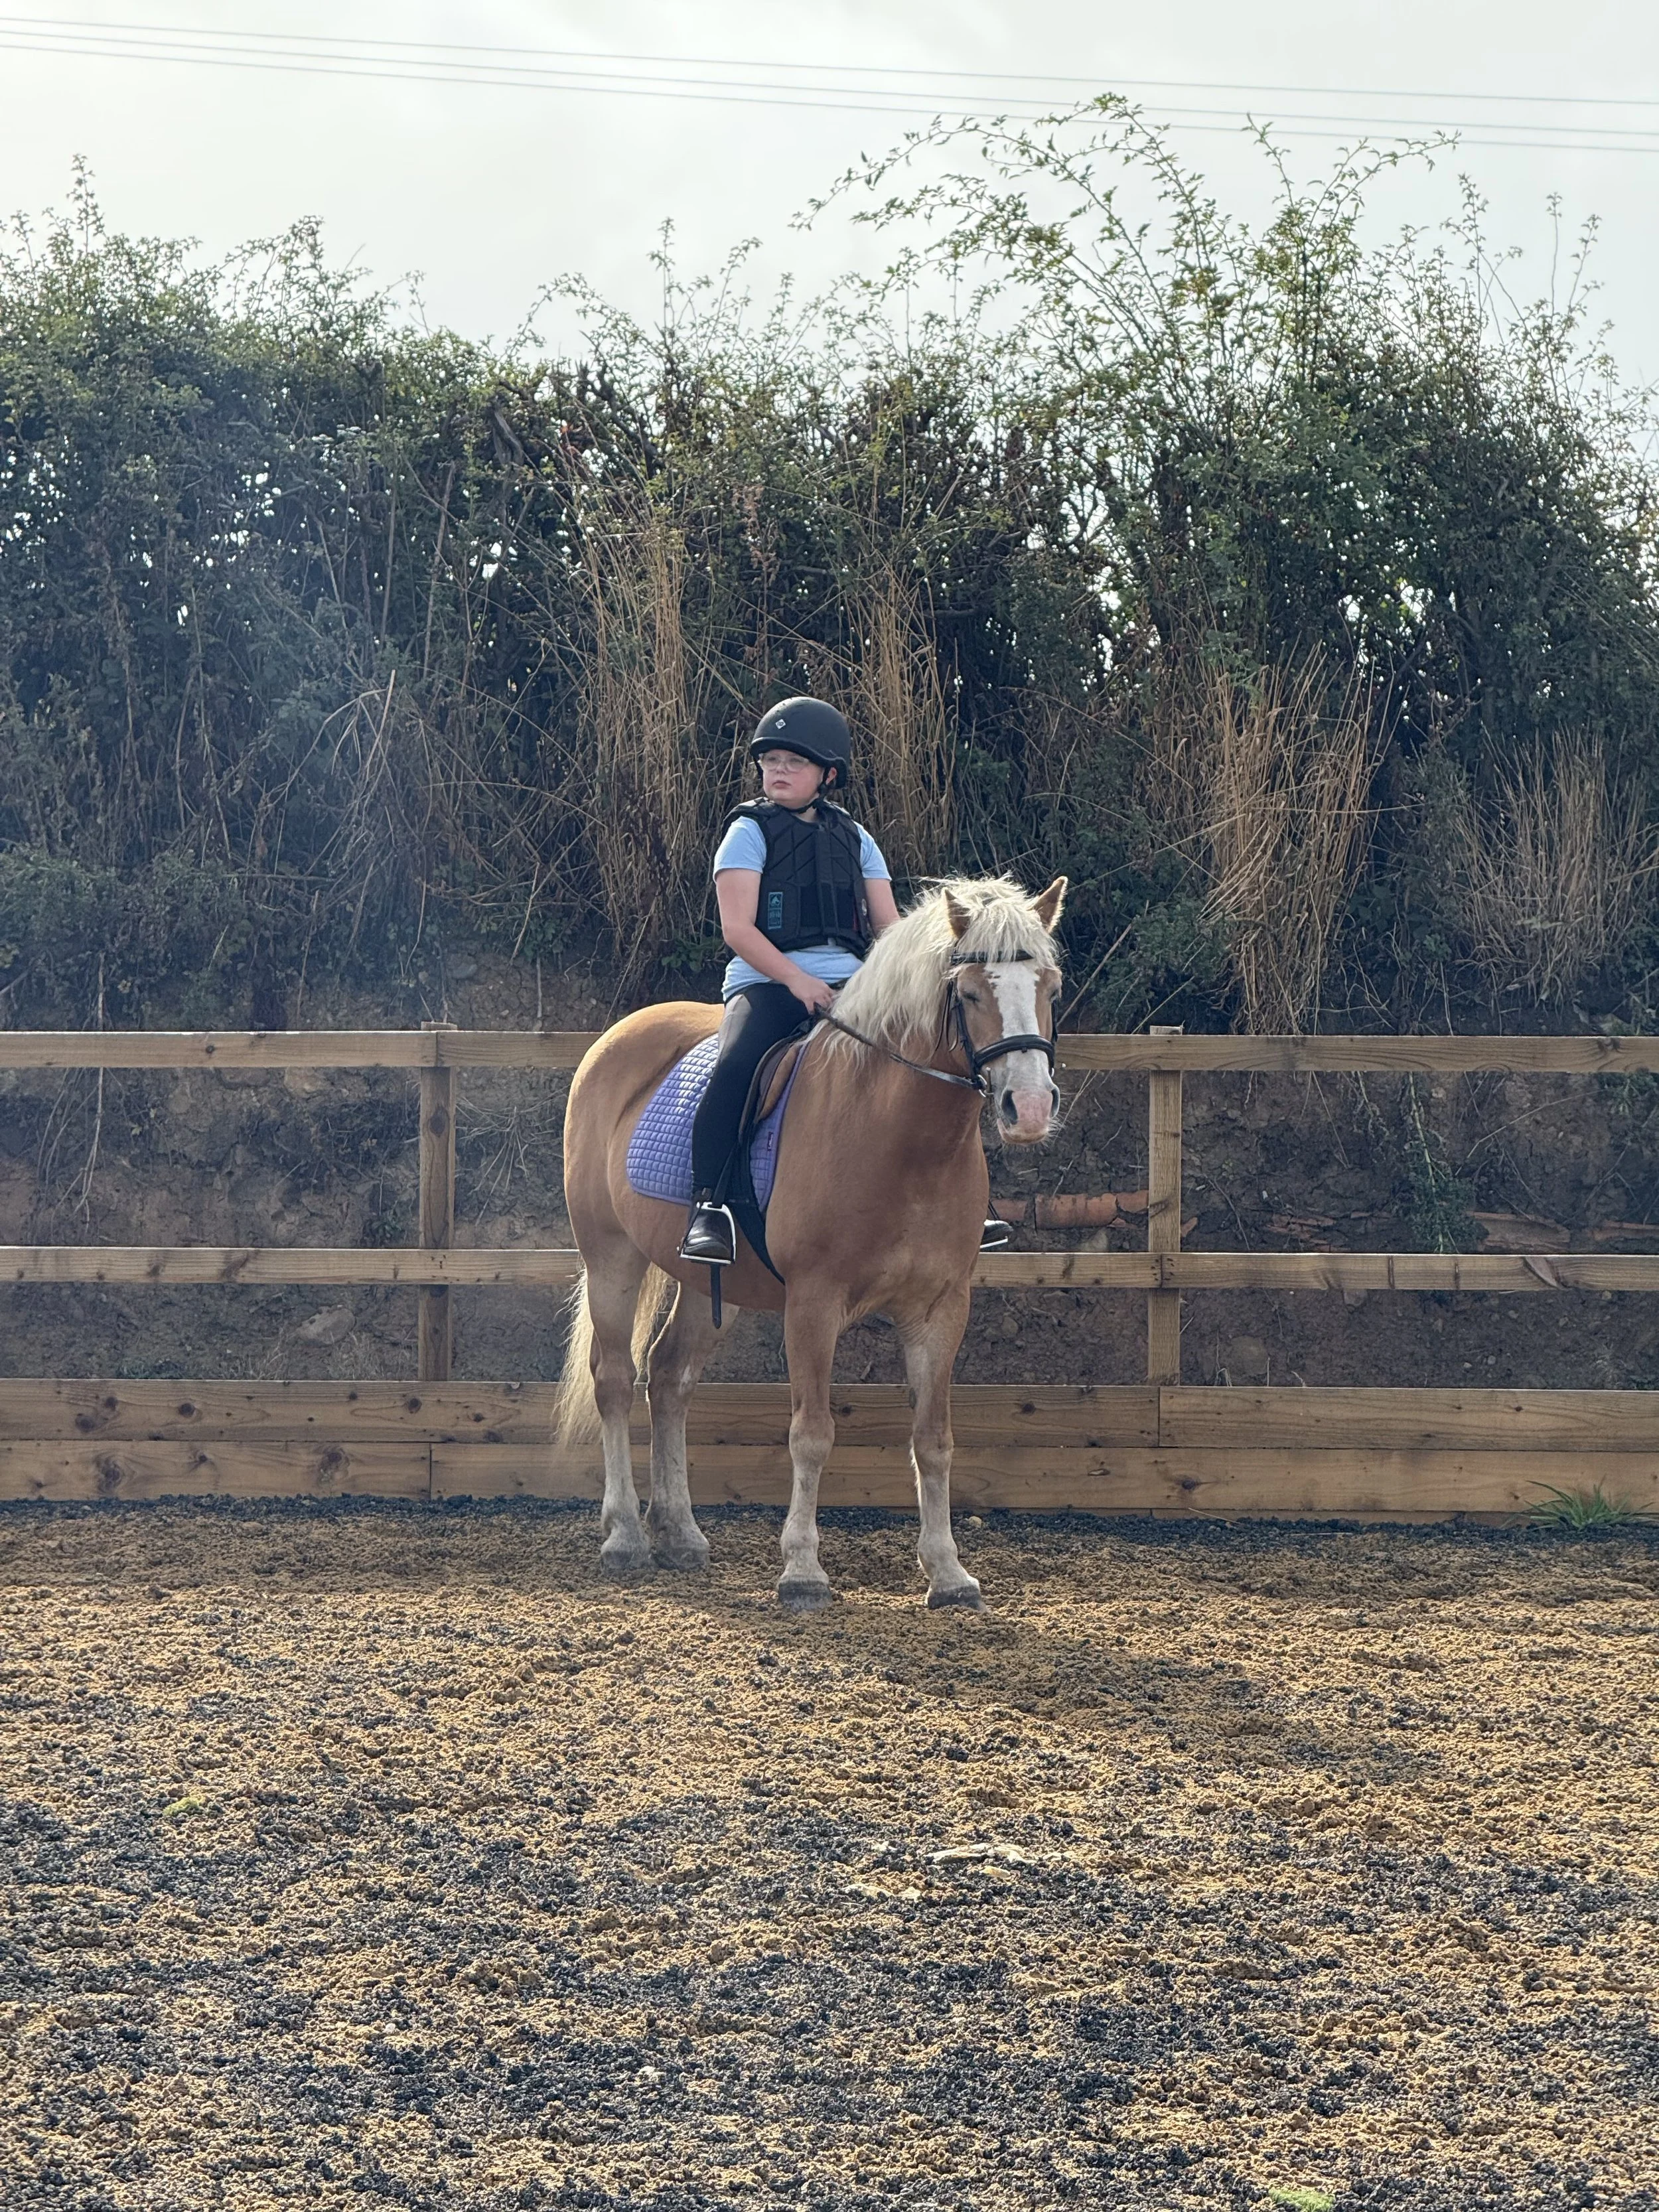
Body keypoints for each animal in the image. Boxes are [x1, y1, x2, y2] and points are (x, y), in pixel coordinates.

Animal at [553, 873, 1066, 1609]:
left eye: (1049, 986)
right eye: (969, 993)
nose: (1028, 1110)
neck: (902, 1140)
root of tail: (617, 1035)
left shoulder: (940, 1308)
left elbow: (933, 1439)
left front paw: (948, 1573)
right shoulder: (814, 1304)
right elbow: (812, 1433)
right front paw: (801, 1570)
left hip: (707, 1280)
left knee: (671, 1378)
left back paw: (680, 1533)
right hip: (611, 1259)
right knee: (616, 1379)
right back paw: (625, 1534)